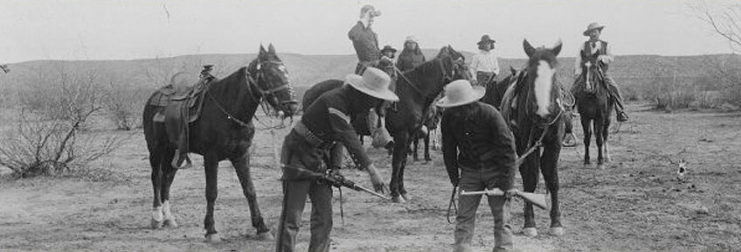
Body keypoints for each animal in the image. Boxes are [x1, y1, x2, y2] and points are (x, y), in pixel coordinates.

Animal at [142, 44, 298, 241]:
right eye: (269, 74)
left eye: (286, 71)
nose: (292, 105)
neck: (230, 111)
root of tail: (154, 96)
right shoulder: (211, 157)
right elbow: (211, 192)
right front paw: (211, 230)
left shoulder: (241, 155)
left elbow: (250, 190)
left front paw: (262, 227)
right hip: (155, 149)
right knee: (156, 177)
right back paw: (156, 217)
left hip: (174, 150)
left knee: (167, 179)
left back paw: (168, 218)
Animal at [480, 40, 568, 237]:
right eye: (531, 73)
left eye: (555, 74)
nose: (543, 113)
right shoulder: (528, 143)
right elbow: (531, 178)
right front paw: (530, 223)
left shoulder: (555, 144)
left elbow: (553, 179)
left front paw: (556, 223)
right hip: (520, 144)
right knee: (525, 172)